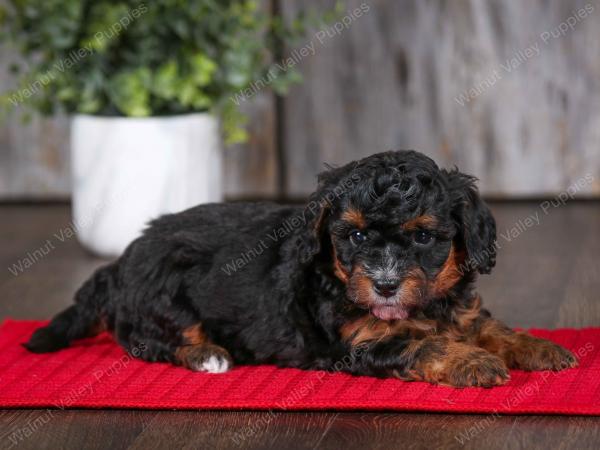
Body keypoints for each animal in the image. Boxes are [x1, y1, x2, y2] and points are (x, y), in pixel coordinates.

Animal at [24, 150, 576, 386]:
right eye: (356, 236)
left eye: (423, 236)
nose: (385, 286)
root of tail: (121, 263)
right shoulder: (361, 341)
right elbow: (425, 344)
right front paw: (472, 363)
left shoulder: (462, 311)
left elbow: (491, 328)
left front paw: (540, 348)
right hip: (163, 295)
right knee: (150, 339)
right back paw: (207, 355)